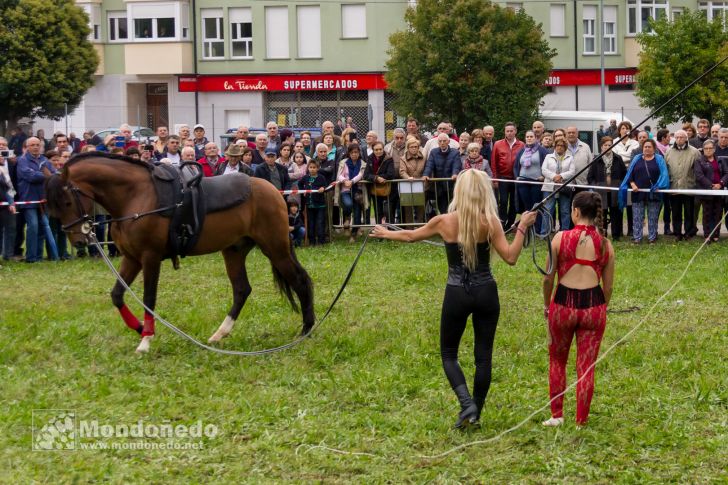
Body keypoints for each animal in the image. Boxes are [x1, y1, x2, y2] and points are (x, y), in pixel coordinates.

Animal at [44, 153, 314, 354]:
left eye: (67, 201)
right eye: (53, 206)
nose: (79, 240)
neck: (137, 195)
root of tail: (274, 192)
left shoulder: (149, 258)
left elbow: (149, 297)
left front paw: (146, 340)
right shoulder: (131, 259)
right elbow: (117, 295)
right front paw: (139, 328)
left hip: (275, 248)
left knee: (300, 281)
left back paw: (307, 330)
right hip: (234, 251)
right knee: (241, 290)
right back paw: (220, 334)